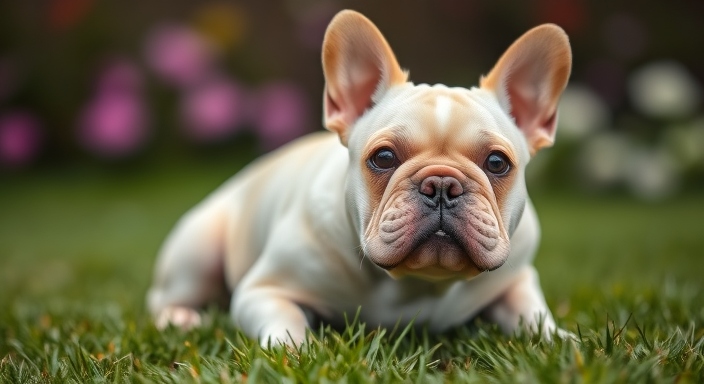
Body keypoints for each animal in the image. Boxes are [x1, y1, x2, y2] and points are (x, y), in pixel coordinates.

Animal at [147, 9, 572, 344]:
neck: (419, 284)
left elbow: (532, 313)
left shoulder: (519, 278)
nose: (441, 185)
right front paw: (298, 352)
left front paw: (560, 340)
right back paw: (179, 317)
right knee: (161, 298)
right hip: (198, 251)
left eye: (497, 163)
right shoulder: (262, 290)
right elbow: (285, 321)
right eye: (383, 158)